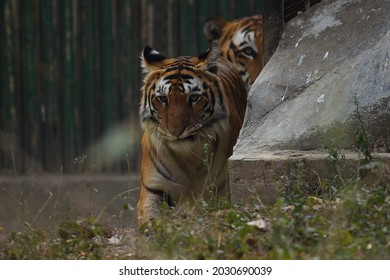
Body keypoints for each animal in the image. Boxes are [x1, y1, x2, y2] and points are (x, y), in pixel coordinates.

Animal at [139, 41, 245, 224]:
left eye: (194, 98)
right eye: (163, 98)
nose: (175, 131)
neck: (189, 157)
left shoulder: (224, 190)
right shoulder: (153, 189)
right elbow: (151, 220)